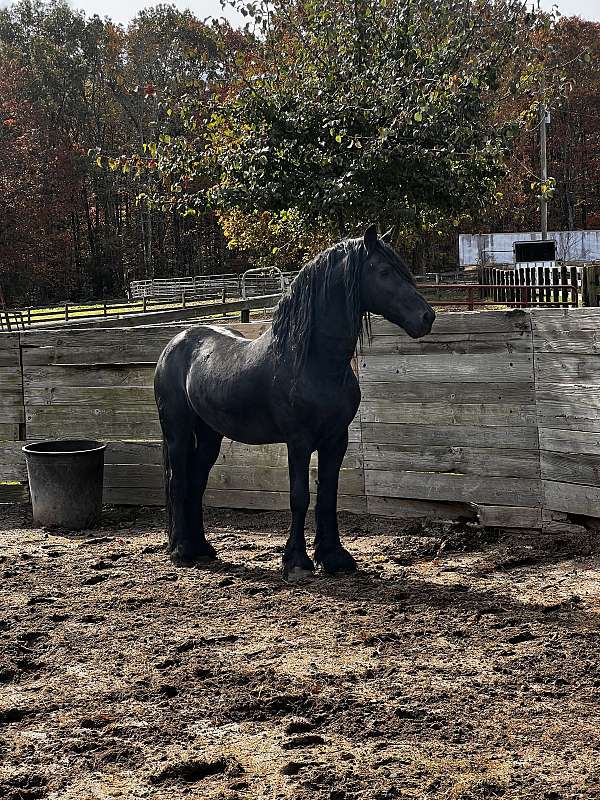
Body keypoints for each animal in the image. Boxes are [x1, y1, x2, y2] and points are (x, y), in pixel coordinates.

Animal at [154, 225, 435, 578]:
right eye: (384, 271)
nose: (427, 317)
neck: (312, 362)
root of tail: (175, 344)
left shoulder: (336, 439)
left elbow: (328, 494)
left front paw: (333, 556)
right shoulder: (298, 441)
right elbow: (299, 496)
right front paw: (297, 560)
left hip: (209, 435)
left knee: (196, 481)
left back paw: (201, 548)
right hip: (177, 433)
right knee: (178, 480)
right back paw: (181, 549)